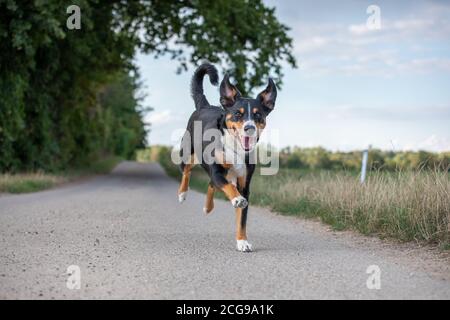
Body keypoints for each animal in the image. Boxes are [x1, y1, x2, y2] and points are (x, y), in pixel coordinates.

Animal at [177, 62, 276, 252]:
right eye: (238, 113)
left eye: (258, 114)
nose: (249, 128)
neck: (235, 148)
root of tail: (204, 106)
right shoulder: (217, 171)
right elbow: (228, 188)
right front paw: (236, 199)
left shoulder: (245, 184)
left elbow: (242, 219)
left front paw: (242, 241)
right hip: (188, 154)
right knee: (187, 171)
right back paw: (182, 194)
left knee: (211, 184)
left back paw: (207, 208)